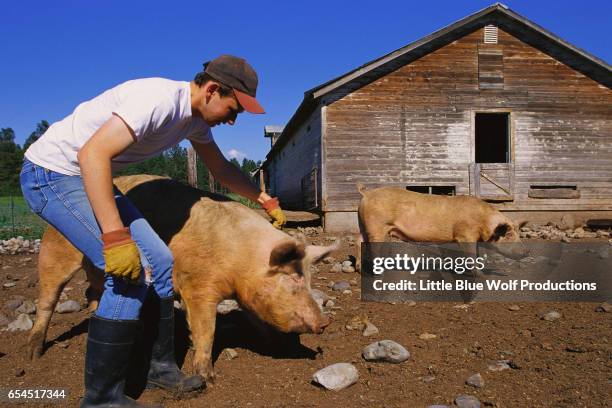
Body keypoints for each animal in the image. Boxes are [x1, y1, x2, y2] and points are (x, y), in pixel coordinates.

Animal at [356, 183, 528, 270]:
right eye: (508, 235)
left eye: (519, 234)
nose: (526, 251)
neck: (484, 221)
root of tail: (367, 194)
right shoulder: (464, 235)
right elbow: (471, 255)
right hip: (377, 226)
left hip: (363, 224)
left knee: (359, 241)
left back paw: (359, 268)